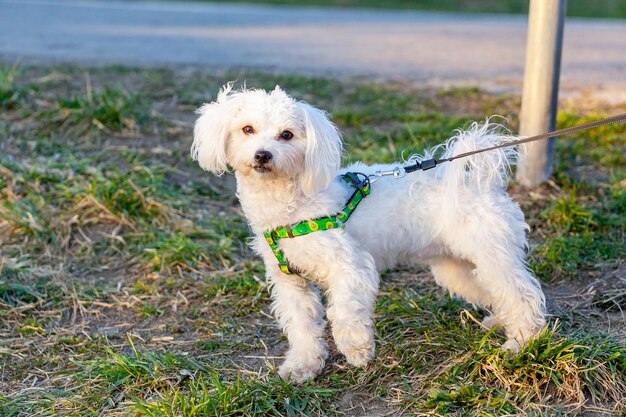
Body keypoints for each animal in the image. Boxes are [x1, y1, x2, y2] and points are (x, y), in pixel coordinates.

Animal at [190, 83, 540, 380]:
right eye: (247, 129)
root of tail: (480, 181)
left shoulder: (350, 266)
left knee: (522, 296)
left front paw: (357, 350)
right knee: (495, 293)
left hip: (492, 254)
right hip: (458, 267)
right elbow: (303, 326)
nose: (263, 155)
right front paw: (303, 366)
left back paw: (521, 344)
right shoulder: (290, 282)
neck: (291, 207)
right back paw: (500, 322)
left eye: (286, 135)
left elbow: (344, 311)